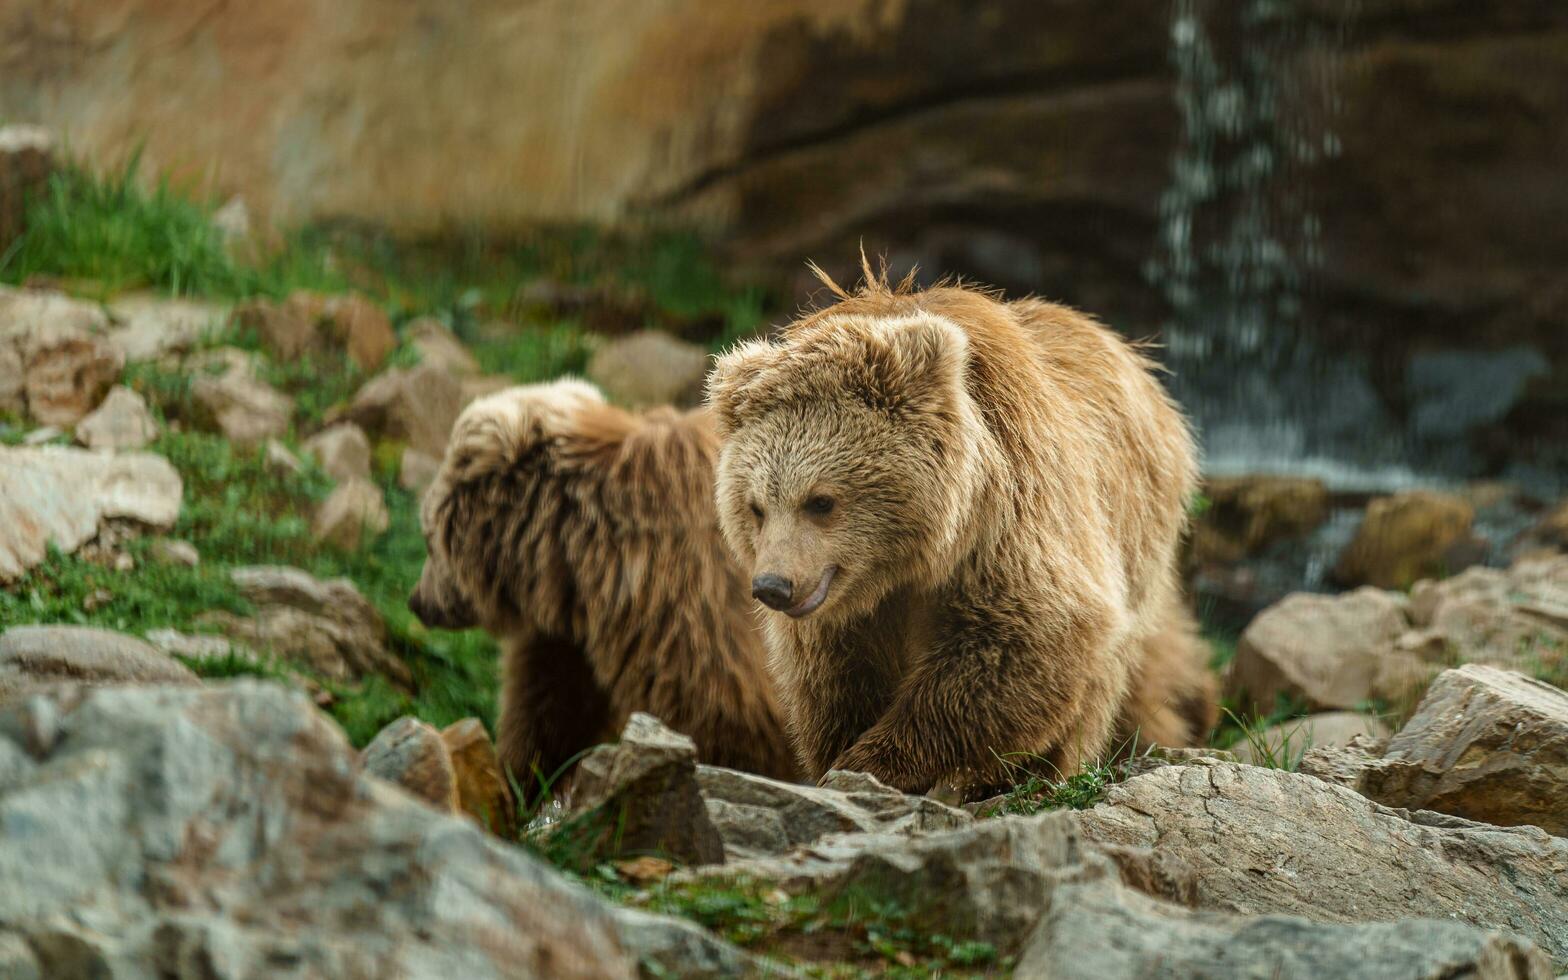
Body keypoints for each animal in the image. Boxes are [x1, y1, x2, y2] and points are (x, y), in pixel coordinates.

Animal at [407, 377, 796, 790]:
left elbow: (734, 721)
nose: (417, 601)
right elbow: (549, 709)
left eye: (429, 537)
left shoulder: (692, 602)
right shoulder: (573, 632)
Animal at [708, 264, 1210, 796]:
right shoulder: (844, 614)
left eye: (821, 501)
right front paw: (840, 755)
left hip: (1135, 521)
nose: (773, 586)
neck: (909, 559)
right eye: (756, 507)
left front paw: (877, 762)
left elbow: (1029, 637)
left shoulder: (1010, 520)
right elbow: (835, 679)